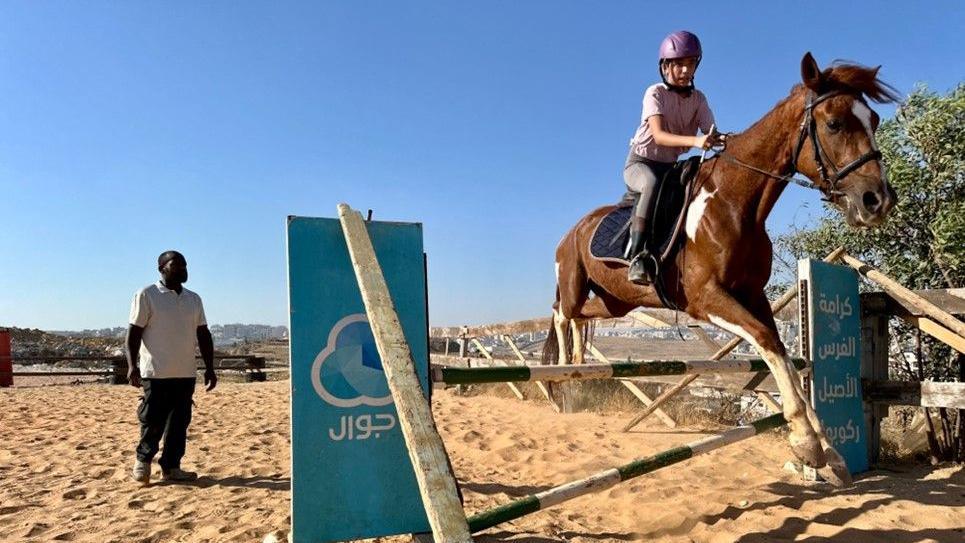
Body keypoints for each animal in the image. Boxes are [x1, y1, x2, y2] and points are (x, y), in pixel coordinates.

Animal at [548, 53, 900, 486]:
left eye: (874, 121)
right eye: (834, 123)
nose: (878, 201)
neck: (736, 201)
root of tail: (571, 232)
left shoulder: (752, 295)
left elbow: (779, 347)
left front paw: (825, 448)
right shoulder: (705, 299)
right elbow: (765, 339)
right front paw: (806, 441)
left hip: (617, 303)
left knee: (580, 316)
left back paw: (577, 363)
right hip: (576, 283)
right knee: (561, 312)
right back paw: (562, 370)